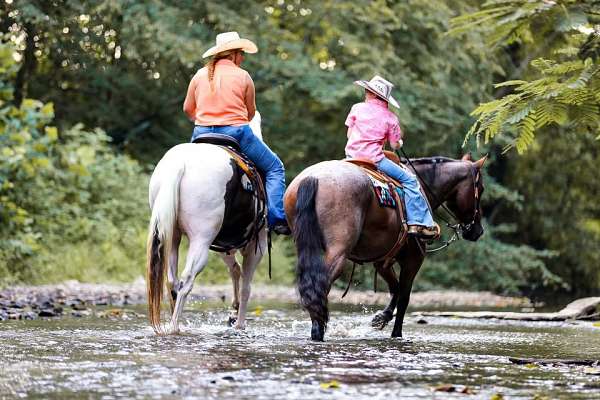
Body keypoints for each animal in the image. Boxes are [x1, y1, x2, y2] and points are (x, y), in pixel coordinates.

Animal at [146, 111, 266, 332]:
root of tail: (181, 164)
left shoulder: (226, 245)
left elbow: (235, 270)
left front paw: (233, 313)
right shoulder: (257, 245)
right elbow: (246, 286)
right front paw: (239, 323)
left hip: (172, 236)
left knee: (172, 280)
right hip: (201, 240)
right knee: (186, 280)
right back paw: (174, 327)